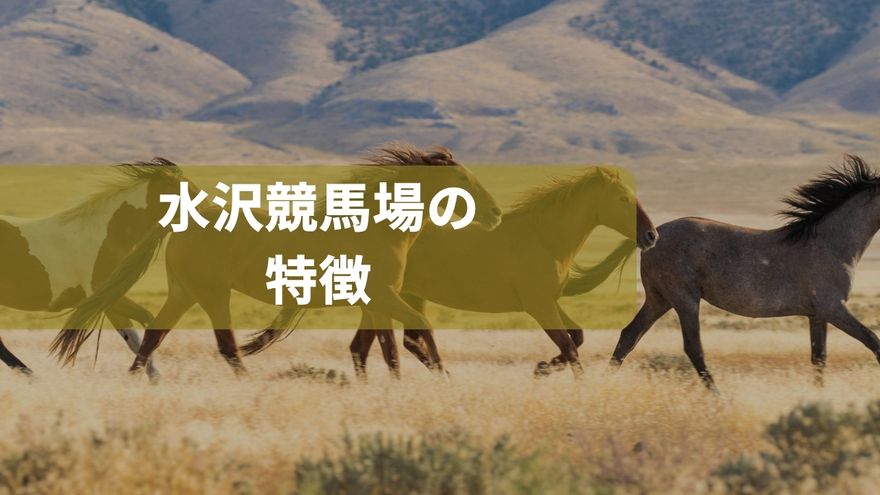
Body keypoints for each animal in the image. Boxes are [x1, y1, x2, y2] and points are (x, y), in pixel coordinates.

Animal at [0, 159, 184, 376]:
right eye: (187, 189)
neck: (107, 233)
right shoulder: (104, 296)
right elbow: (145, 323)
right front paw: (151, 374)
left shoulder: (108, 300)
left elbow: (132, 337)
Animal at [52, 144, 502, 378]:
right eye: (464, 181)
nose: (496, 215)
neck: (377, 223)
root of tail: (192, 207)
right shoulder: (382, 296)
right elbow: (409, 333)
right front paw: (436, 376)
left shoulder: (373, 300)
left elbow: (371, 346)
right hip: (212, 293)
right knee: (226, 346)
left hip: (184, 292)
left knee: (153, 337)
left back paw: (139, 381)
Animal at [244, 168, 659, 379]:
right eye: (623, 198)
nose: (651, 236)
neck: (544, 238)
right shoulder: (538, 304)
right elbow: (571, 347)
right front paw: (562, 376)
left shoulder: (548, 302)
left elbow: (577, 337)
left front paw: (542, 367)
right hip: (391, 298)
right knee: (392, 342)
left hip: (390, 298)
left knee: (372, 346)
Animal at [610, 155, 880, 391]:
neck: (831, 243)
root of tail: (655, 236)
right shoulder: (833, 308)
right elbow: (873, 342)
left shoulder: (817, 314)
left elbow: (819, 358)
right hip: (684, 300)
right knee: (693, 348)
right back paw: (719, 398)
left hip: (659, 300)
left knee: (629, 336)